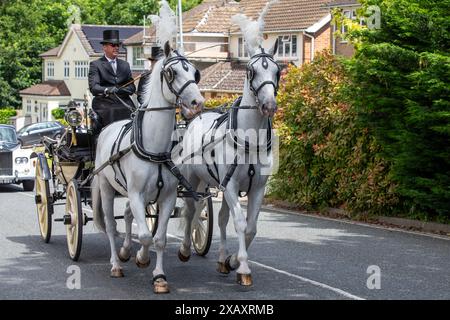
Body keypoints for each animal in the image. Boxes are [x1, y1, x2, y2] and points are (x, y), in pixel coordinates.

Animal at [178, 1, 280, 286]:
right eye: (251, 71)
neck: (250, 139)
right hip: (193, 179)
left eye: (277, 70)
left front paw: (234, 260)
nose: (269, 105)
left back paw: (223, 259)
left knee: (219, 217)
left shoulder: (256, 188)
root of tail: (196, 117)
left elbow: (251, 226)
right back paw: (185, 248)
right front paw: (243, 267)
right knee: (191, 210)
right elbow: (240, 224)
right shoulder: (233, 185)